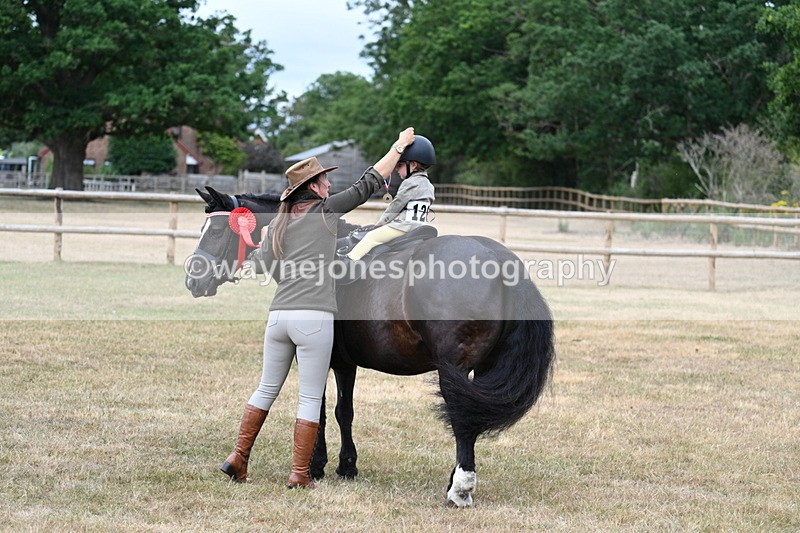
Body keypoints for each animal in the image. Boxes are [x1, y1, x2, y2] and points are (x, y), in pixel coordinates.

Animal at [185, 186, 555, 507]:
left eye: (216, 230)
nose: (193, 279)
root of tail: (500, 259)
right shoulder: (345, 363)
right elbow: (344, 412)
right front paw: (347, 465)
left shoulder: (322, 357)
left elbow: (320, 412)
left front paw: (316, 465)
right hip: (480, 371)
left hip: (454, 371)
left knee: (462, 420)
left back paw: (460, 488)